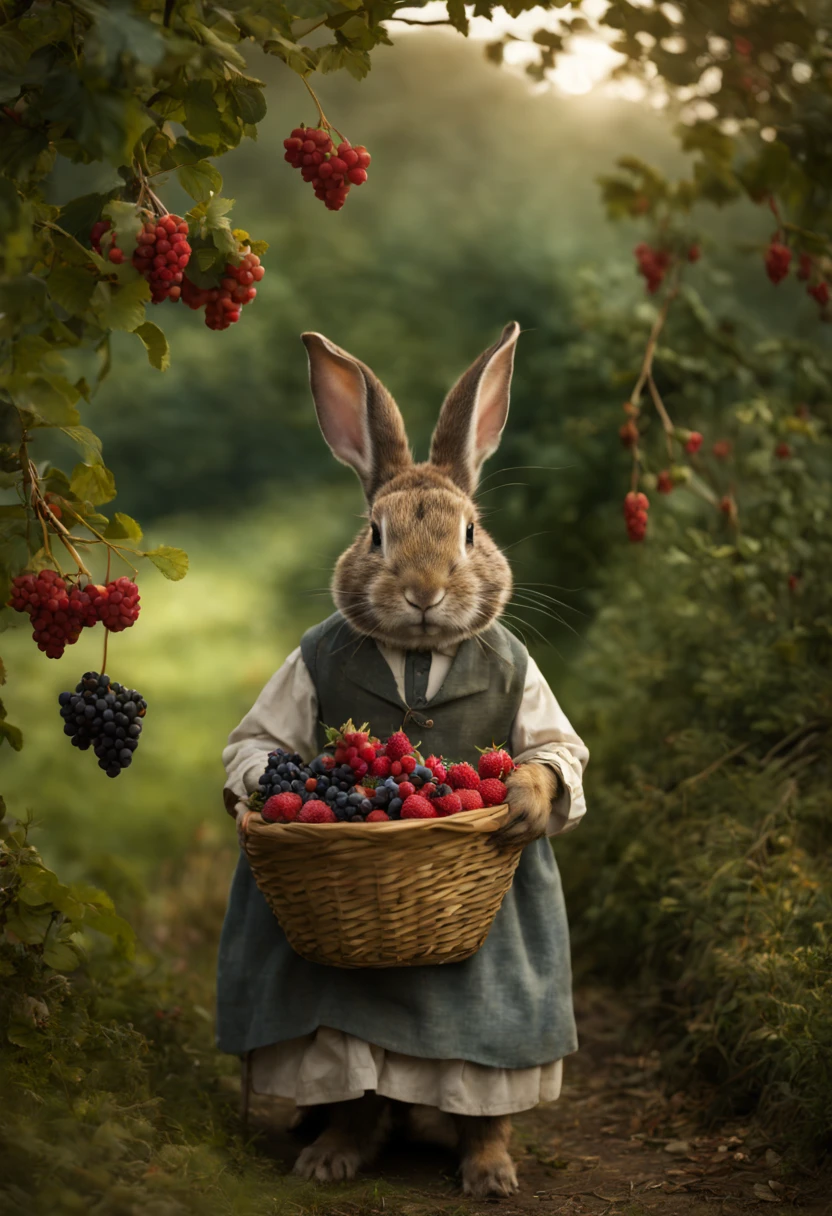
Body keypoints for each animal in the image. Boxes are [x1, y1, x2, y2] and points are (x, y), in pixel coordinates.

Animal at [217, 318, 588, 1201]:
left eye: (470, 534)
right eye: (376, 536)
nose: (423, 591)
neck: (419, 654)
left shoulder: (535, 700)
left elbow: (558, 757)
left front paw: (523, 803)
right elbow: (255, 747)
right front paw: (262, 803)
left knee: (485, 1097)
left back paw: (489, 1168)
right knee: (355, 1086)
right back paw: (331, 1151)